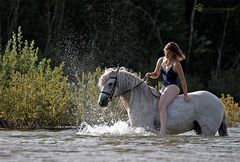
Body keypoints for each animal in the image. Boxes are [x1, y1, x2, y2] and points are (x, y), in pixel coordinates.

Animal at [97, 67, 227, 135]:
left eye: (110, 84)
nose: (101, 102)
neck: (141, 102)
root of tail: (219, 102)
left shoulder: (144, 128)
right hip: (199, 129)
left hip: (208, 130)